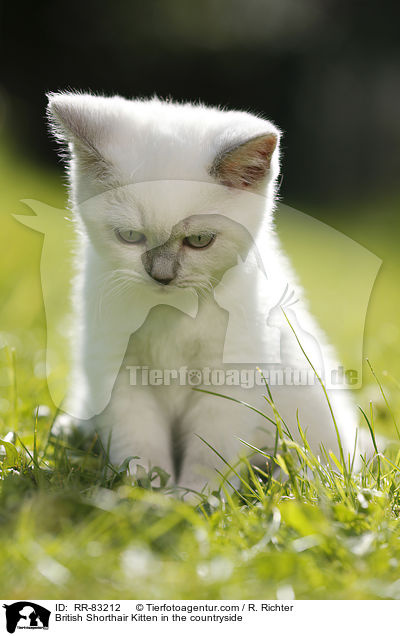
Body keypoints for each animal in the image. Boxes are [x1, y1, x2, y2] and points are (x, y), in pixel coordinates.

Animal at [47, 93, 368, 496]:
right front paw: (143, 490)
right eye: (130, 237)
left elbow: (210, 451)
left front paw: (194, 498)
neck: (174, 315)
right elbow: (137, 441)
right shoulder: (118, 370)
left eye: (199, 240)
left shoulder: (229, 380)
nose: (162, 276)